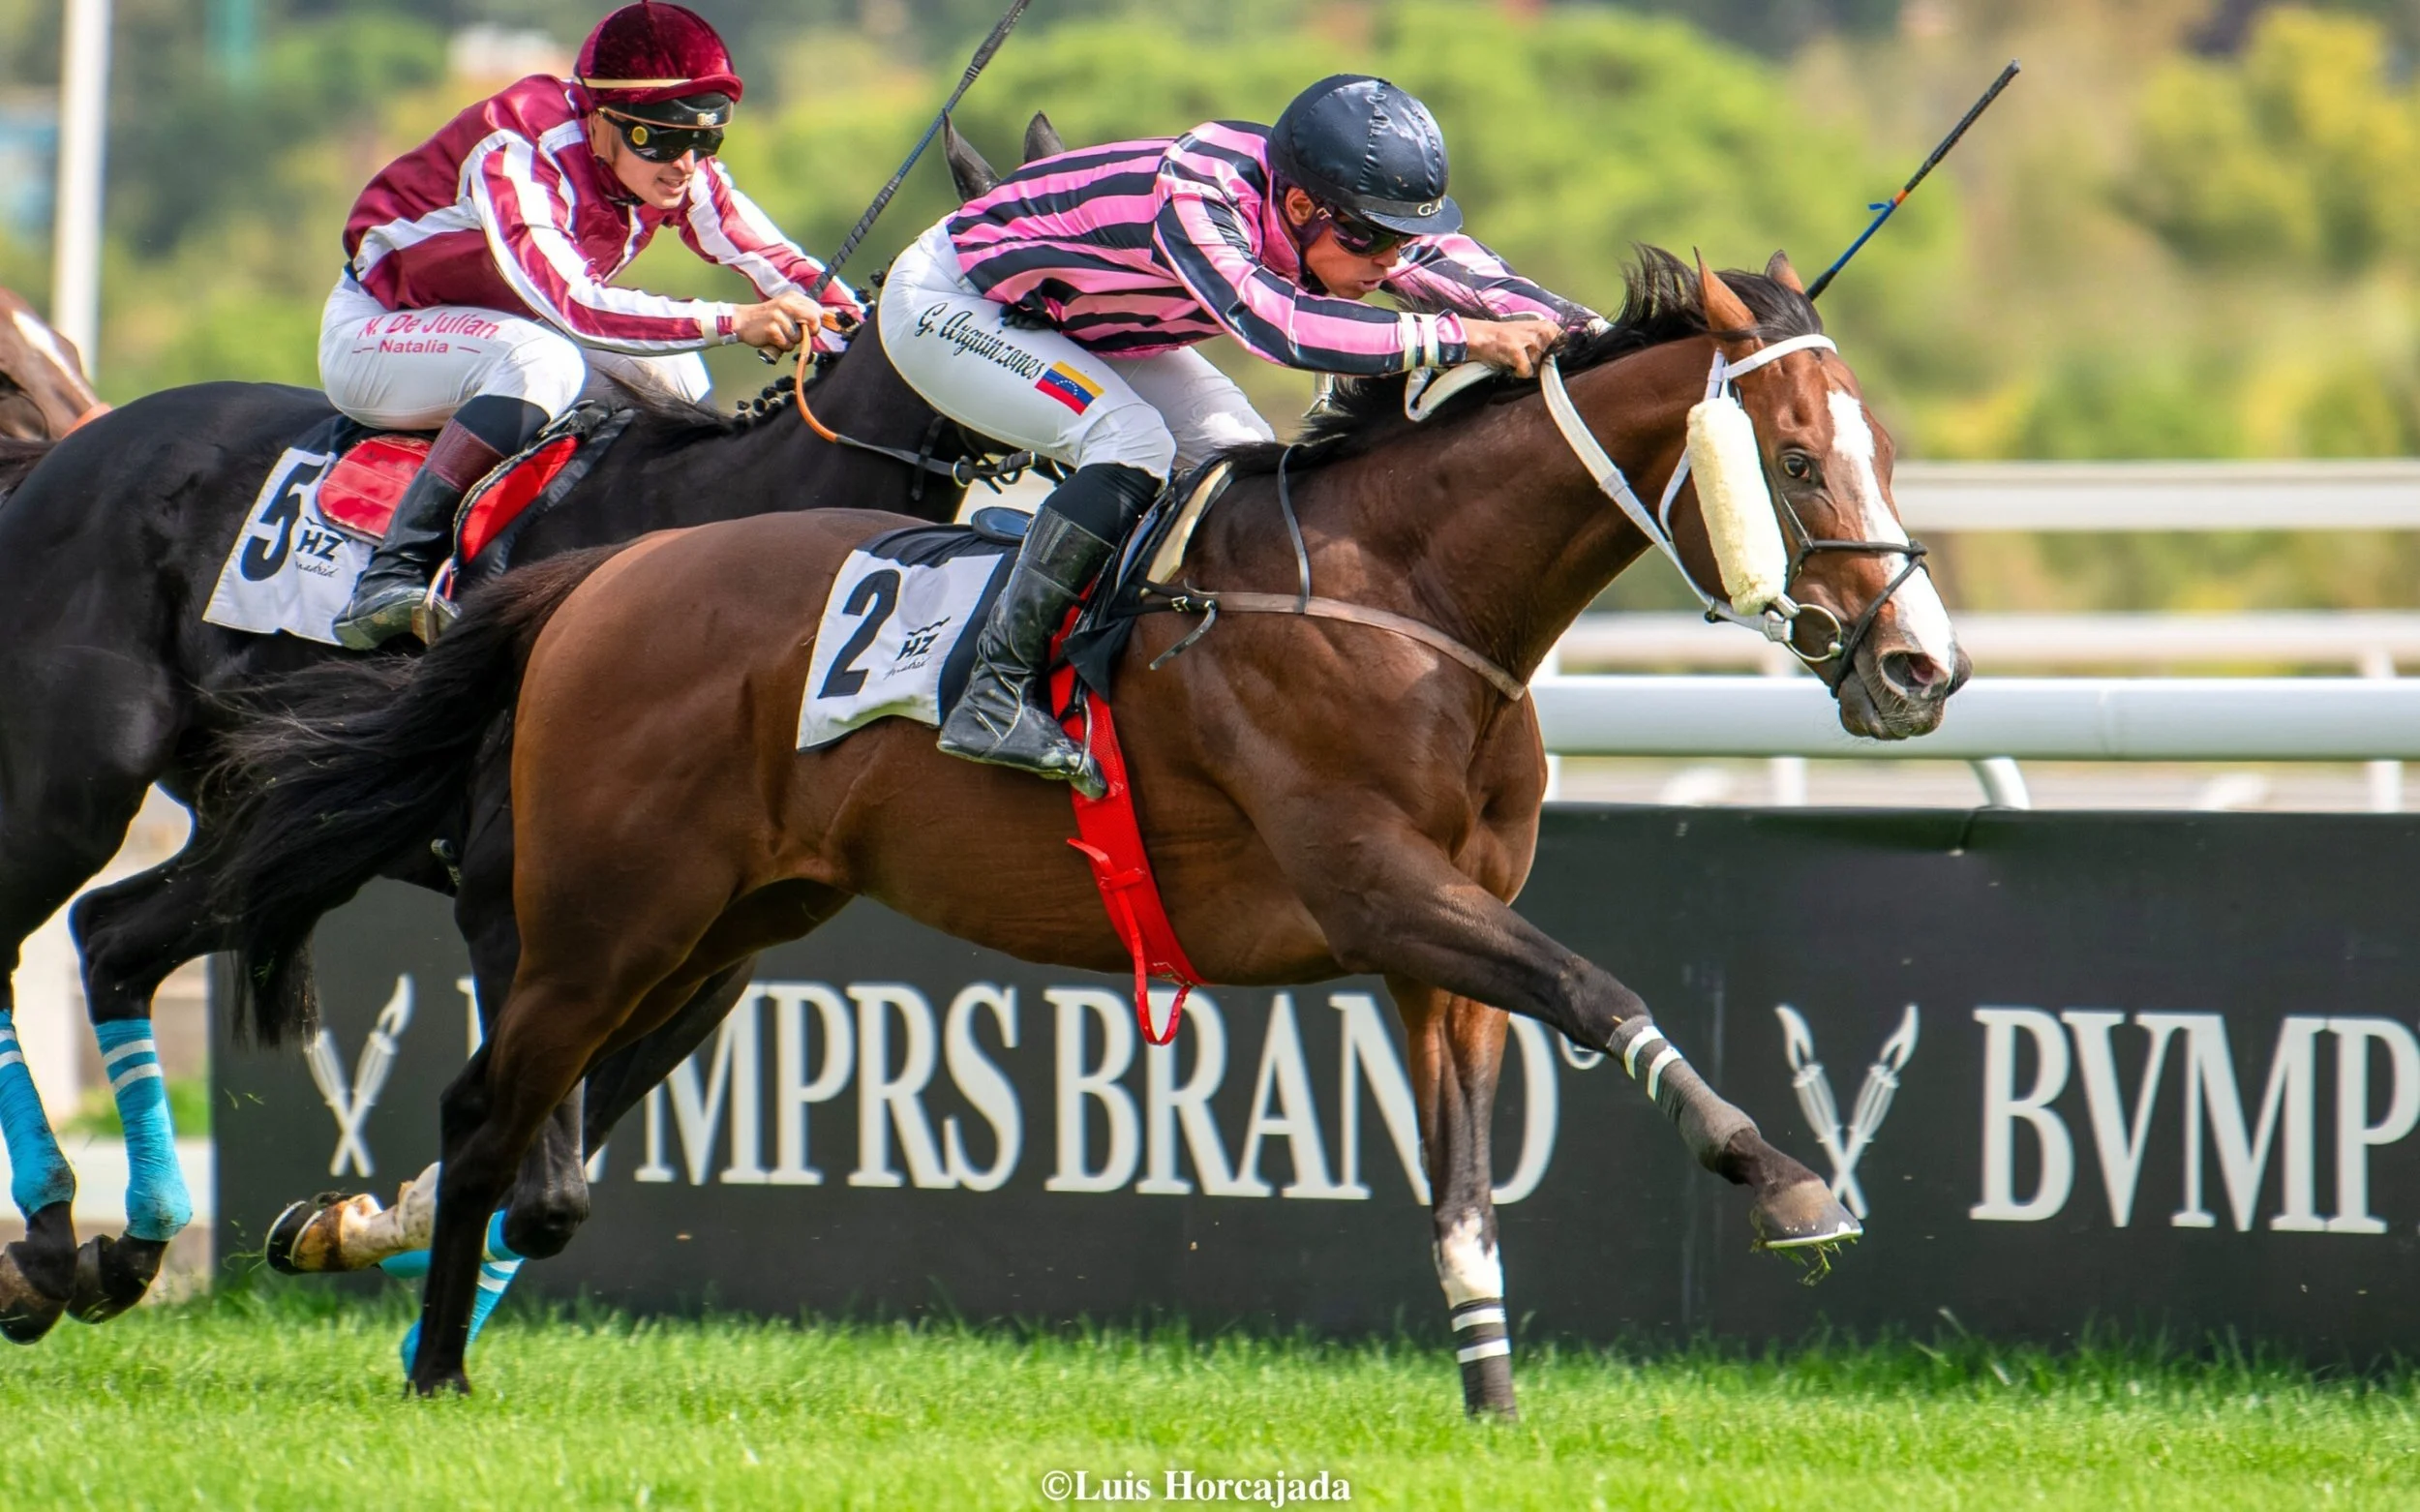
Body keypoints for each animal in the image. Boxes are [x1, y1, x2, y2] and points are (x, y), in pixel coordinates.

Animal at [0, 319, 994, 1342]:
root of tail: (68, 451)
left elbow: (541, 1164)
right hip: (72, 786)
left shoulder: (710, 961)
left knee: (115, 938)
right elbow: (543, 1187)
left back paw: (124, 1249)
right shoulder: (521, 908)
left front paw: (354, 1229)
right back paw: (46, 1244)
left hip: (273, 829)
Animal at [215, 247, 1967, 1407]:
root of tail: (592, 574)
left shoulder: (1433, 947)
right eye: (1795, 460)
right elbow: (1607, 994)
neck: (1410, 598)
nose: (1920, 668)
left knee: (534, 1119)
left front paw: (1491, 1398)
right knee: (482, 1104)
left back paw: (369, 1244)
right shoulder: (1379, 889)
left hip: (730, 922)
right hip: (607, 912)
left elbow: (1467, 1182)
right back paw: (434, 1364)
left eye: (1883, 449)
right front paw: (1791, 1179)